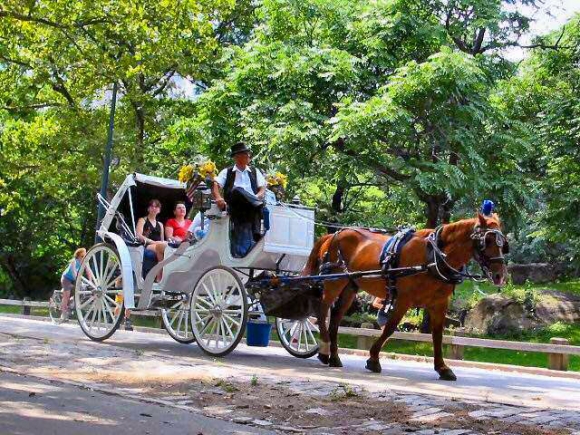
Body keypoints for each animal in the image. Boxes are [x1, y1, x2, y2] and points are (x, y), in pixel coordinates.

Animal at [304, 213, 508, 380]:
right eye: (487, 240)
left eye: (503, 243)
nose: (500, 275)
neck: (434, 258)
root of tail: (334, 234)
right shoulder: (404, 300)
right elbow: (390, 328)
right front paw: (373, 359)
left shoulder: (439, 304)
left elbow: (437, 335)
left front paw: (442, 368)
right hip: (335, 281)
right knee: (322, 311)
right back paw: (324, 351)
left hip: (350, 286)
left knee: (335, 318)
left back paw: (334, 356)